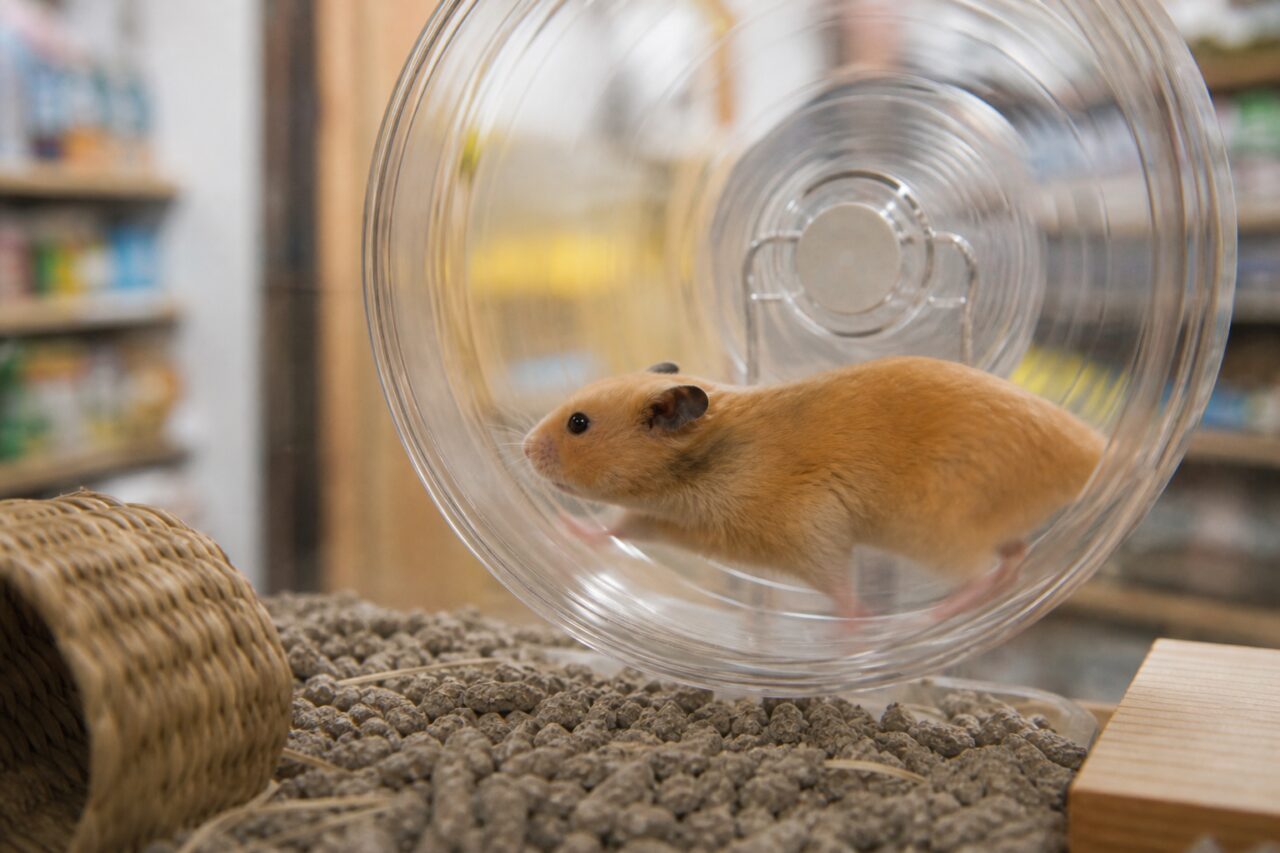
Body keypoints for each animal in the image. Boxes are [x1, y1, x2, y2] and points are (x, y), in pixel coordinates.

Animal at [522, 356, 1105, 619]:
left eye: (578, 424)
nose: (523, 449)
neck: (702, 469)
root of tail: (1094, 451)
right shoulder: (662, 520)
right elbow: (613, 527)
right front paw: (561, 529)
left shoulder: (809, 526)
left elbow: (837, 581)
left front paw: (853, 629)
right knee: (1016, 557)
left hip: (941, 533)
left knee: (984, 571)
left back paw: (937, 614)